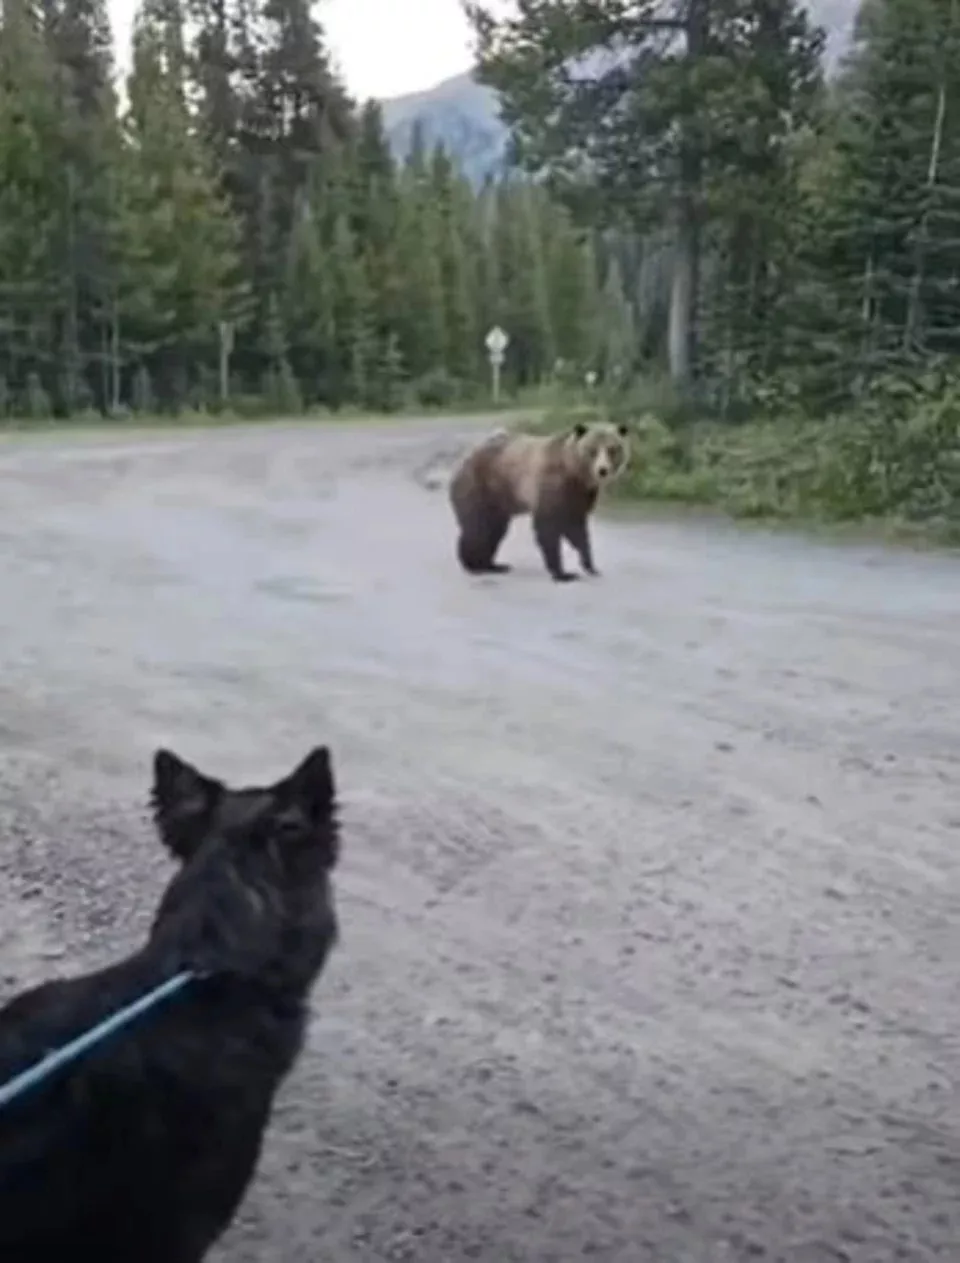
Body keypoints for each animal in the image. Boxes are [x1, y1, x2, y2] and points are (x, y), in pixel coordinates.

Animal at [449, 419, 631, 582]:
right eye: (592, 450)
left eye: (612, 449)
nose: (602, 470)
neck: (573, 472)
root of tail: (463, 461)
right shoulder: (552, 485)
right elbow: (548, 528)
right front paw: (563, 573)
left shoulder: (580, 495)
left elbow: (577, 530)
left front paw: (591, 566)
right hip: (481, 488)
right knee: (478, 529)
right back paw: (474, 565)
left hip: (498, 502)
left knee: (495, 530)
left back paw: (493, 565)